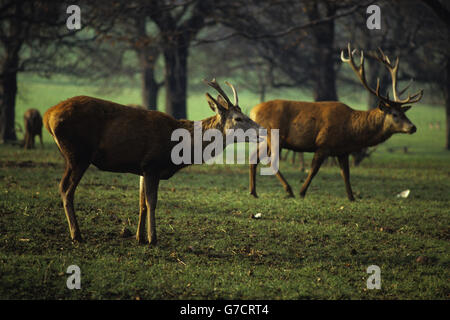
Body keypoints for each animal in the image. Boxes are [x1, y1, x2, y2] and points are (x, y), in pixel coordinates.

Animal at [44, 79, 262, 244]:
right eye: (238, 118)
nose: (262, 129)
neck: (180, 145)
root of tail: (48, 116)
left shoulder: (142, 168)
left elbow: (141, 202)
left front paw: (139, 237)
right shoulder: (153, 164)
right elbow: (152, 202)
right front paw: (152, 238)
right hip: (77, 154)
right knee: (65, 189)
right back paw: (76, 234)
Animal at [250, 43, 422, 201]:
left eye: (403, 112)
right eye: (394, 114)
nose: (413, 127)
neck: (351, 131)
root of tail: (253, 111)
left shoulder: (342, 151)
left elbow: (346, 174)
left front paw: (352, 197)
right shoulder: (323, 144)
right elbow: (314, 170)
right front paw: (302, 192)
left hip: (265, 138)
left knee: (254, 157)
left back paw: (254, 192)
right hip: (274, 135)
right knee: (270, 160)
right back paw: (289, 190)